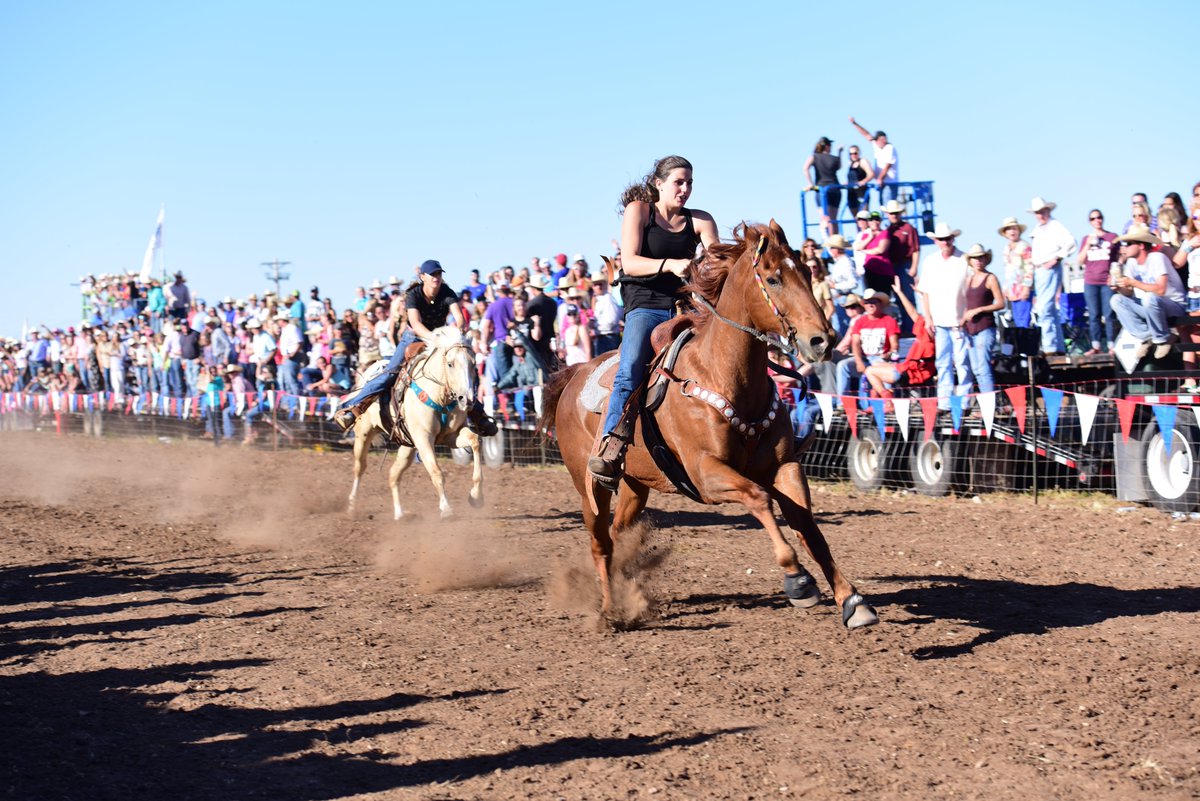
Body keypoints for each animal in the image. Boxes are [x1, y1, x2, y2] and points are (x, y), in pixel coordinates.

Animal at [347, 326, 483, 520]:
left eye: (473, 364)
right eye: (450, 364)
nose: (467, 399)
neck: (439, 396)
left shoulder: (451, 436)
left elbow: (475, 441)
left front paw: (476, 497)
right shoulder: (424, 438)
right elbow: (436, 472)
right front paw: (446, 509)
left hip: (407, 446)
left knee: (393, 475)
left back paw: (399, 514)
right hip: (364, 433)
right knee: (359, 468)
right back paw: (352, 507)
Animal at [542, 220, 879, 629]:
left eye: (806, 270)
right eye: (773, 278)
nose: (823, 340)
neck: (724, 375)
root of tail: (573, 374)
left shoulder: (784, 466)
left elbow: (808, 526)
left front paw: (852, 600)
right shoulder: (706, 474)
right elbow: (759, 498)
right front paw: (798, 580)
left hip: (637, 484)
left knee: (620, 533)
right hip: (588, 483)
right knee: (600, 542)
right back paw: (610, 612)